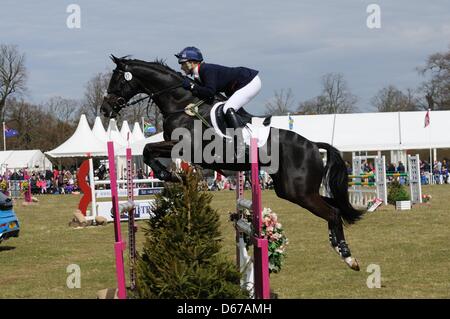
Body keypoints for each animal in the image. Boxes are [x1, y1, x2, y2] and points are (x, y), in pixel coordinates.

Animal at [101, 56, 362, 272]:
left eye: (116, 79)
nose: (105, 109)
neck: (182, 104)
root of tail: (313, 145)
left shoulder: (185, 146)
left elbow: (147, 150)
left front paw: (169, 175)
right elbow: (148, 151)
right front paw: (171, 175)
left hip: (300, 191)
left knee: (333, 212)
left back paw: (348, 257)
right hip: (289, 190)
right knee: (336, 207)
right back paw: (340, 248)